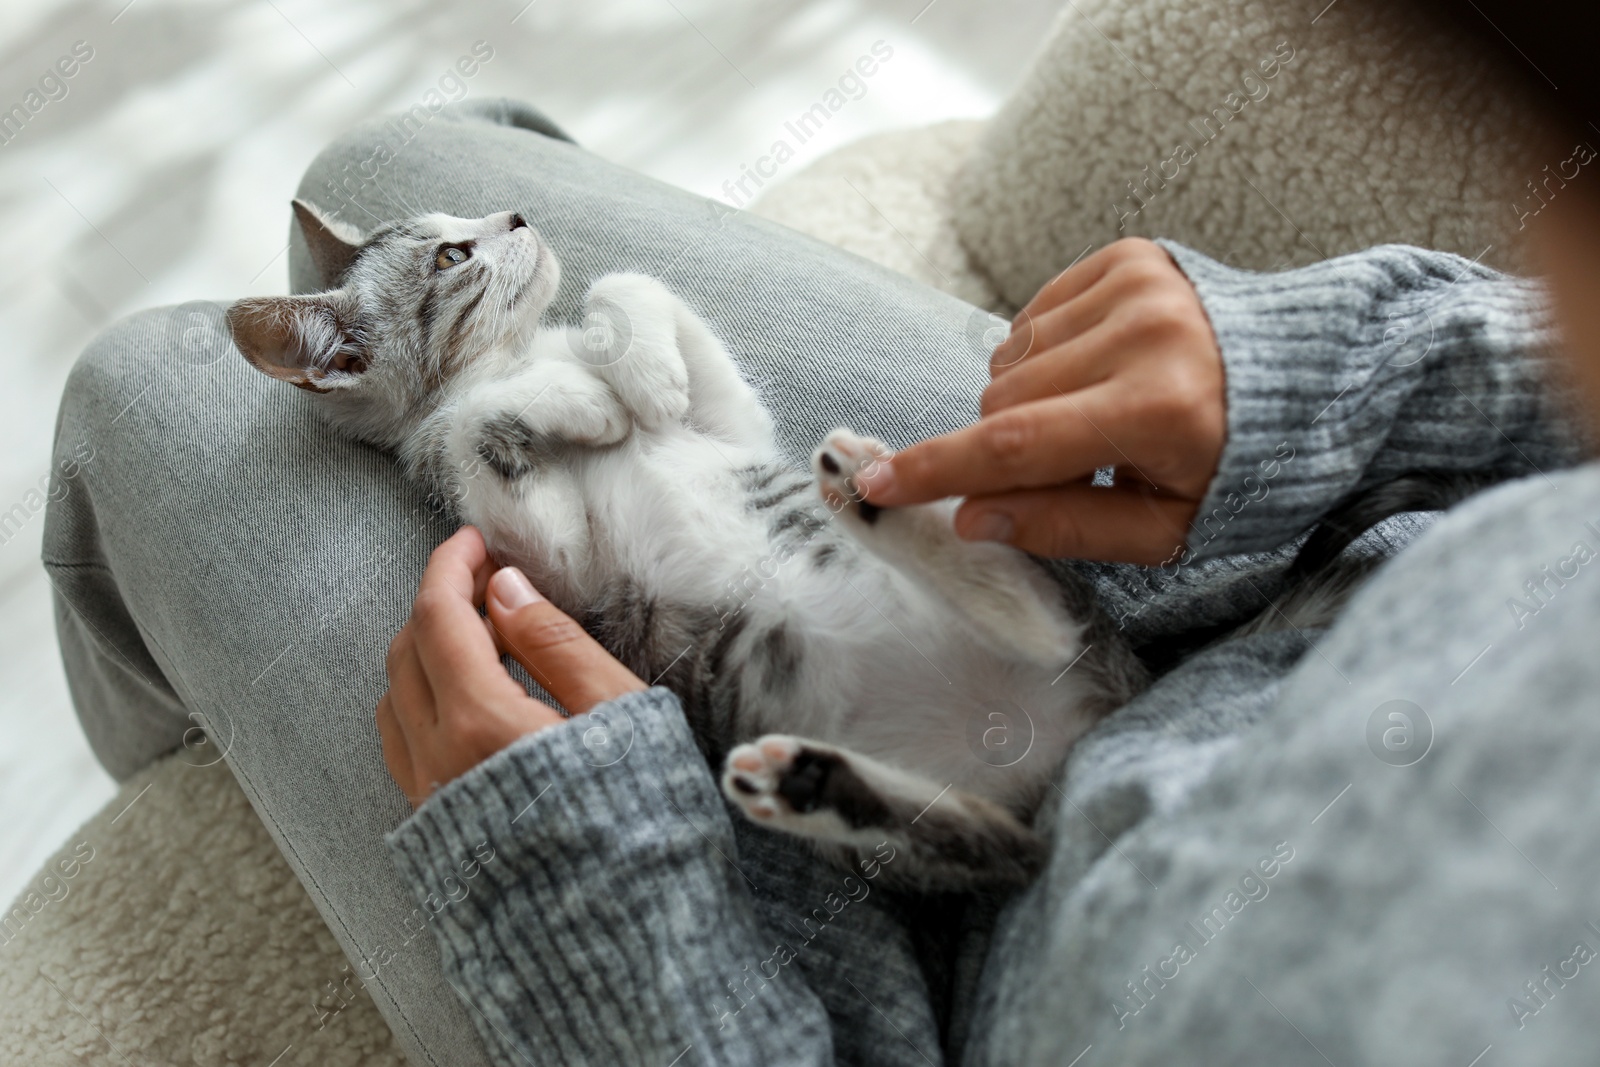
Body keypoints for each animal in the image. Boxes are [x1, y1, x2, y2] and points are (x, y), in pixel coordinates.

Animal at [232, 202, 1145, 895]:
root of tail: (1072, 736)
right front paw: (590, 403)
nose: (518, 212)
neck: (518, 357)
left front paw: (637, 374)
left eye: (464, 218)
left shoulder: (730, 428)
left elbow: (630, 287)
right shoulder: (557, 564)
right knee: (1012, 820)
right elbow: (473, 431)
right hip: (916, 834)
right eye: (452, 254)